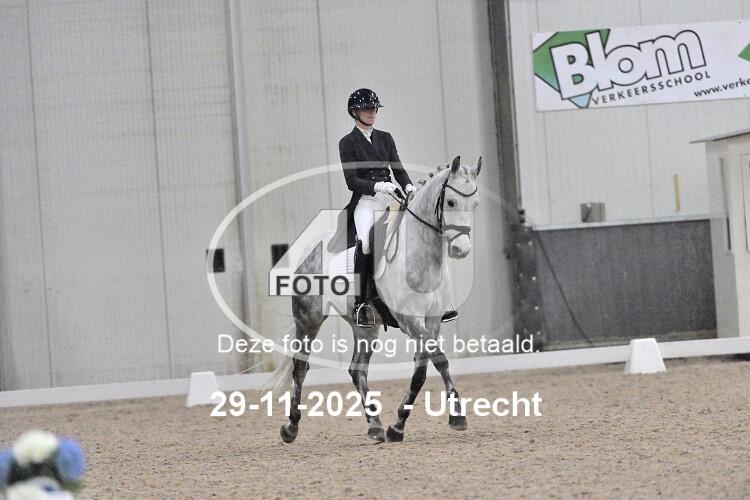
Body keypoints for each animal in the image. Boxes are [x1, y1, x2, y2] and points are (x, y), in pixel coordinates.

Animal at [275, 155, 481, 443]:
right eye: (450, 202)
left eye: (475, 204)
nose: (461, 249)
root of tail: (309, 253)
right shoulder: (410, 321)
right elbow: (440, 360)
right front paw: (457, 416)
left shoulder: (430, 323)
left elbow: (420, 373)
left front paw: (397, 426)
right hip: (308, 320)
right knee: (300, 368)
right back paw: (291, 427)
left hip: (365, 327)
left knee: (357, 370)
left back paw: (374, 425)